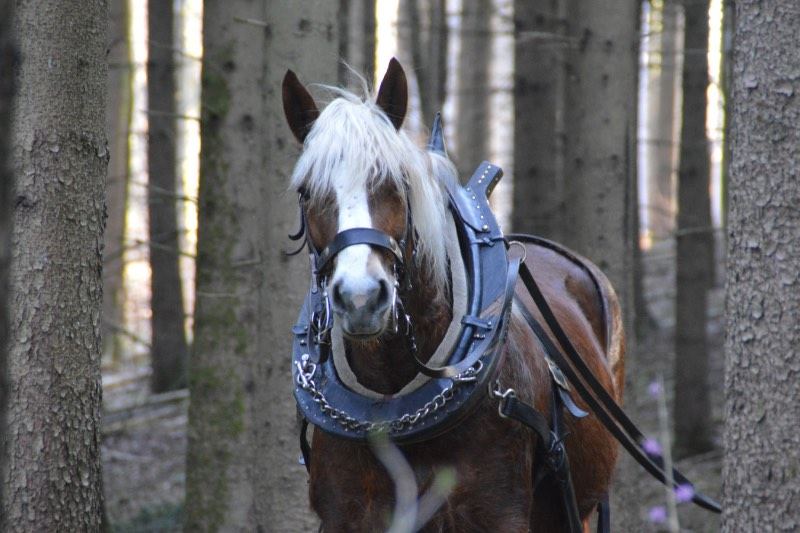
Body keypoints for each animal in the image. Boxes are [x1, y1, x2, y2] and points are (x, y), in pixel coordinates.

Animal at [282, 59, 624, 532]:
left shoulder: (499, 514)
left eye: (396, 182)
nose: (361, 297)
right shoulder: (346, 515)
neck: (392, 396)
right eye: (306, 191)